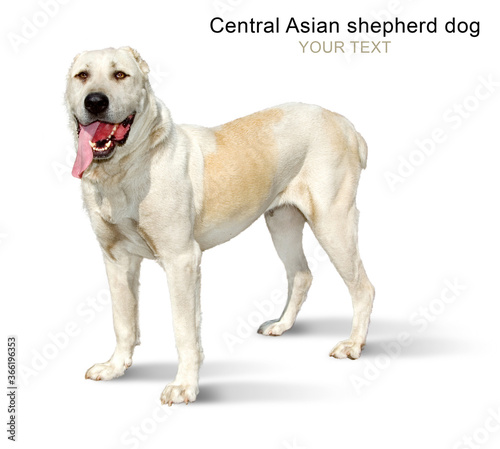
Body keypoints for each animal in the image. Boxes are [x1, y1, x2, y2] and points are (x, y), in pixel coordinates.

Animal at [63, 47, 376, 404]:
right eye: (83, 75)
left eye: (120, 75)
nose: (95, 102)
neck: (125, 168)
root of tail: (345, 123)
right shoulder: (116, 260)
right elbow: (123, 321)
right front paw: (115, 367)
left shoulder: (181, 260)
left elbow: (184, 330)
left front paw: (184, 386)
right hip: (282, 222)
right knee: (301, 274)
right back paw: (281, 326)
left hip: (332, 221)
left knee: (363, 287)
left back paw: (353, 345)